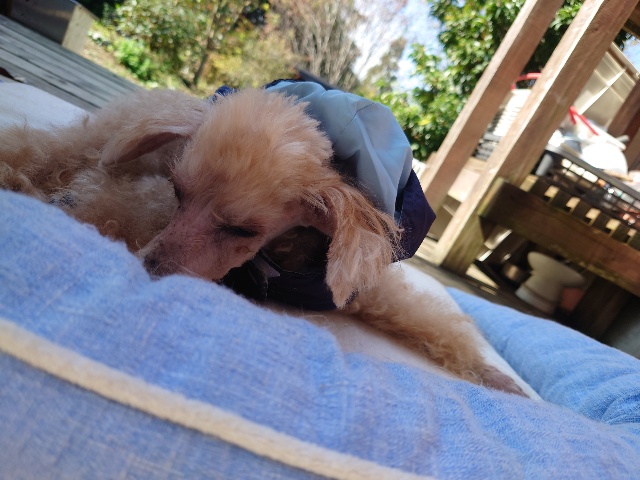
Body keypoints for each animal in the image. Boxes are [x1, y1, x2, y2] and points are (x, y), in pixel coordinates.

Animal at [0, 86, 525, 396]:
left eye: (242, 230)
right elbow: (115, 203)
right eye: (179, 192)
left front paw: (498, 379)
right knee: (54, 150)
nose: (147, 270)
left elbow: (430, 321)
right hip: (104, 140)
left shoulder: (364, 287)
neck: (287, 253)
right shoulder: (150, 200)